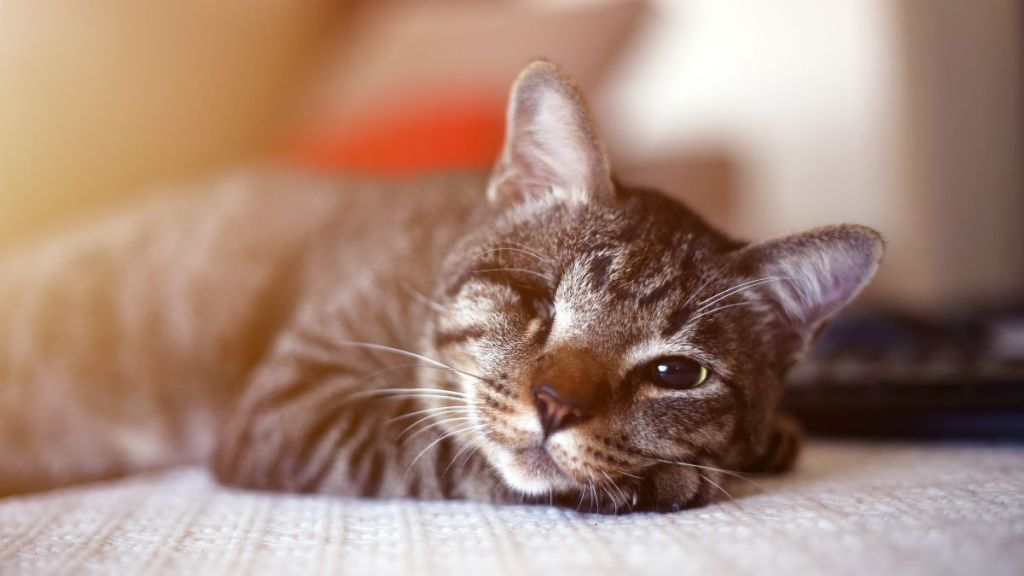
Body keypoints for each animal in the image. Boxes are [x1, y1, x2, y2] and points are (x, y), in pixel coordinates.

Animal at [0, 61, 880, 510]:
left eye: (675, 373)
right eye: (535, 303)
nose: (556, 406)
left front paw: (768, 438)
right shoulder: (291, 404)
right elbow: (427, 448)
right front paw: (668, 478)